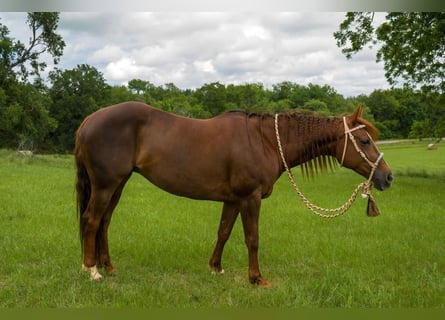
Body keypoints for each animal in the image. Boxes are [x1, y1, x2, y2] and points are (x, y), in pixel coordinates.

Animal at [74, 101, 390, 286]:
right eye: (364, 141)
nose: (387, 177)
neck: (264, 141)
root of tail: (89, 119)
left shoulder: (233, 199)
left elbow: (223, 232)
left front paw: (216, 268)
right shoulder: (250, 198)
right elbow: (252, 239)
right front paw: (256, 278)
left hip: (118, 183)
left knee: (104, 223)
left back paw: (109, 267)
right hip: (106, 184)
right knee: (91, 220)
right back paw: (92, 270)